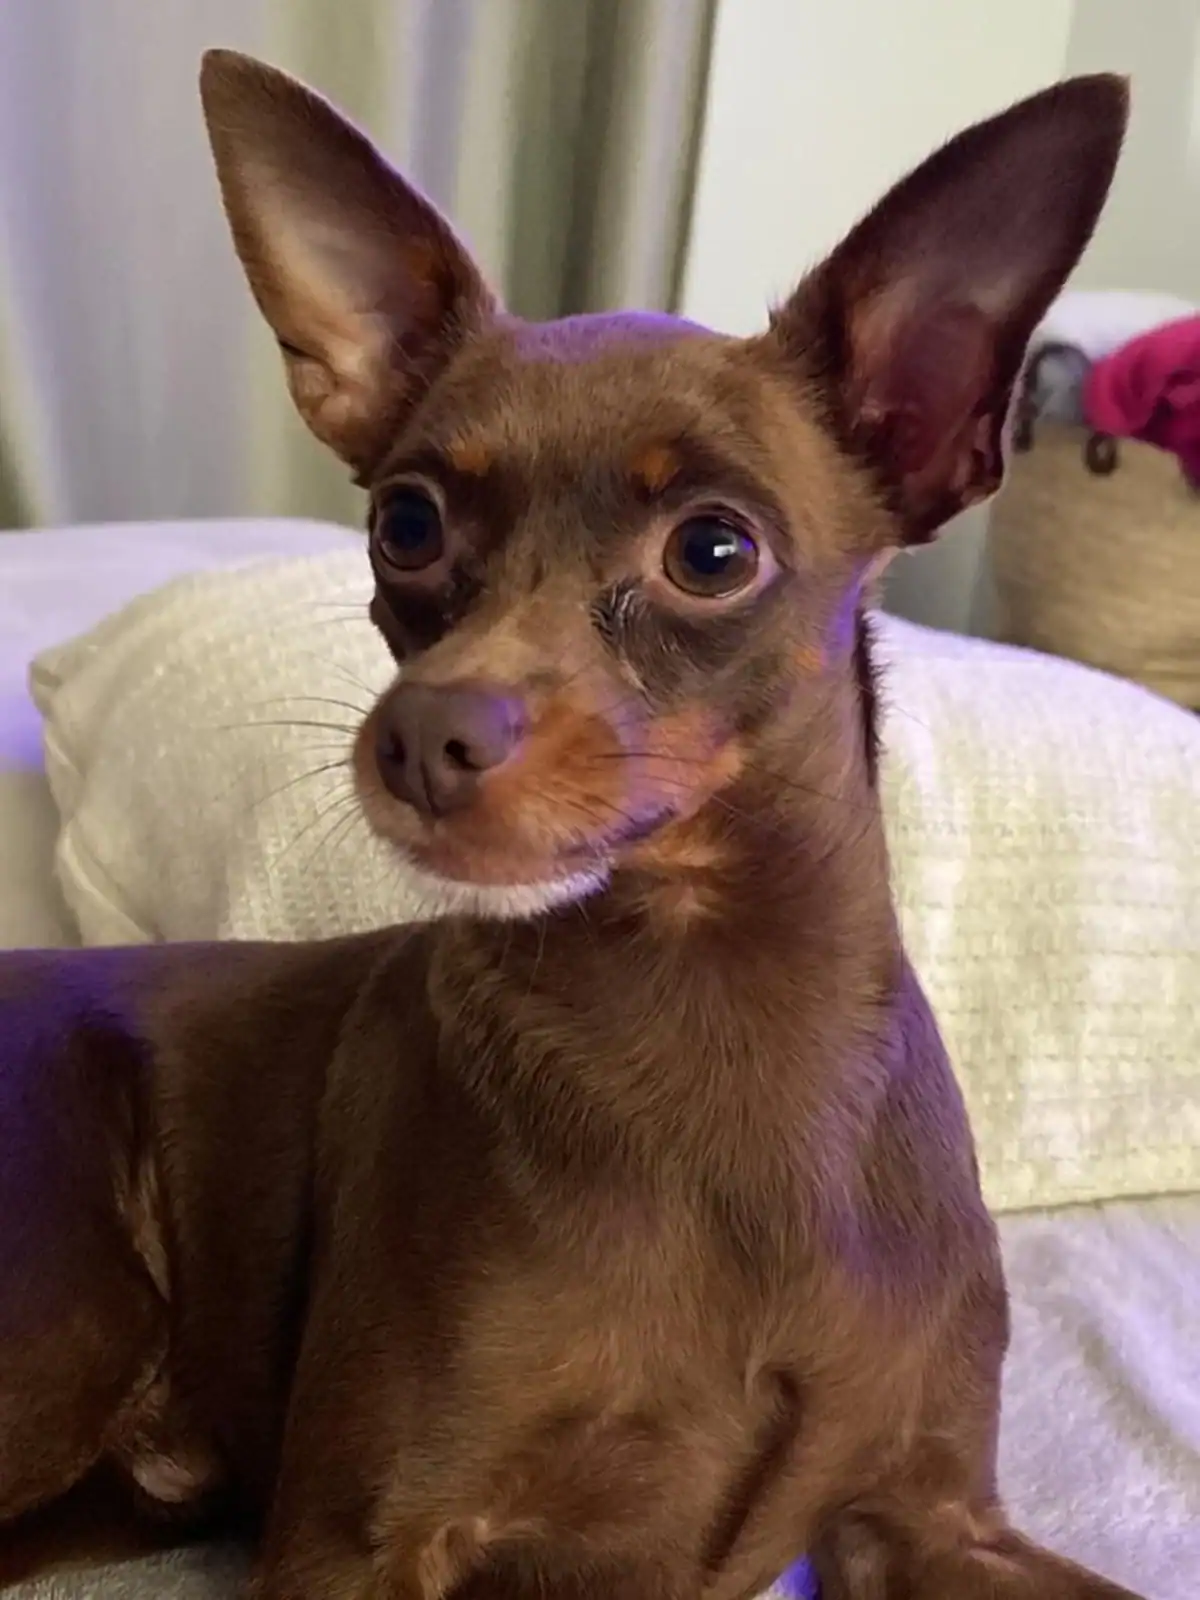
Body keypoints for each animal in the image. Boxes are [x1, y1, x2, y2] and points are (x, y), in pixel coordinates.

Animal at [0, 49, 1138, 1600]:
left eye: (713, 550)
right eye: (406, 524)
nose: (423, 733)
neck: (714, 1008)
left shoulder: (936, 1517)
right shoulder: (363, 1541)